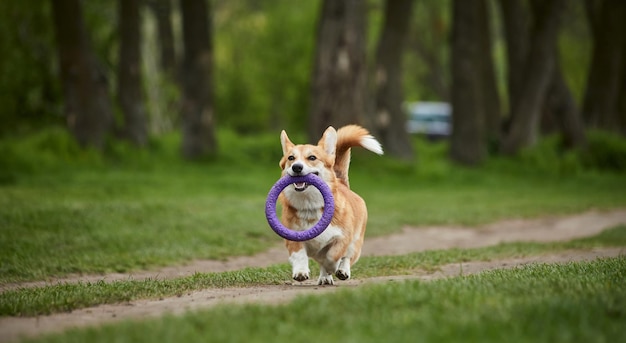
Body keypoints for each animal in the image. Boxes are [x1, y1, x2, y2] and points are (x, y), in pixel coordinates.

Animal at [276, 125, 380, 286]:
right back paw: (325, 278)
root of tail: (342, 183)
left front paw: (333, 267)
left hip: (356, 244)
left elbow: (333, 256)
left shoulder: (342, 239)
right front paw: (300, 272)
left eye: (312, 157)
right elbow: (299, 255)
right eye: (291, 158)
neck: (310, 205)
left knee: (347, 258)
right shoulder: (293, 238)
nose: (296, 167)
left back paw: (342, 271)